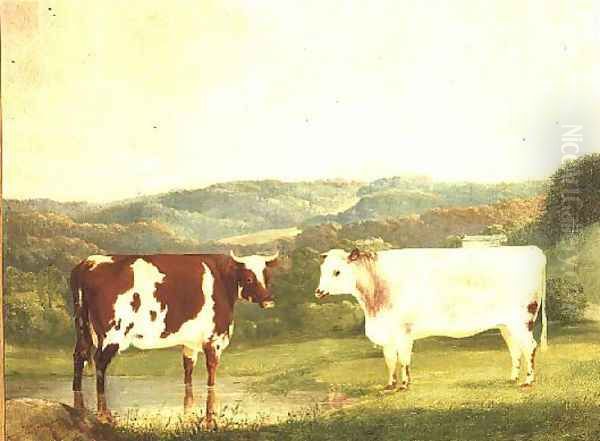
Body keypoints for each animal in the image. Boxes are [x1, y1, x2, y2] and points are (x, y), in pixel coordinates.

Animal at [71, 251, 278, 420]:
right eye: (249, 278)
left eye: (267, 277)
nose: (268, 301)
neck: (222, 280)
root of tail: (89, 262)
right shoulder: (213, 339)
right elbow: (211, 371)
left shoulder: (190, 341)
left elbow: (188, 371)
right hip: (112, 334)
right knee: (99, 362)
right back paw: (102, 405)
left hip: (83, 329)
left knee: (80, 356)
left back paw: (77, 394)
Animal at [316, 246, 548, 390]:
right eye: (322, 270)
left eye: (337, 272)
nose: (318, 291)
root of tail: (533, 250)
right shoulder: (388, 333)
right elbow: (390, 360)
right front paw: (390, 384)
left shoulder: (403, 332)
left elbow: (403, 359)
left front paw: (404, 385)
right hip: (506, 324)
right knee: (516, 349)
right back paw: (513, 378)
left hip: (522, 319)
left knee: (530, 346)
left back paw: (528, 381)